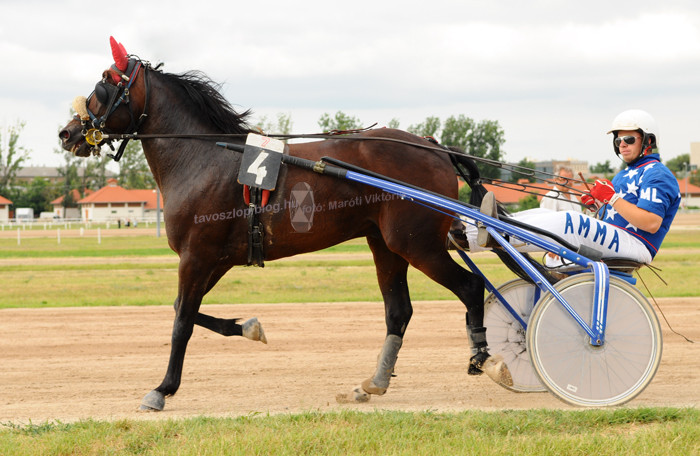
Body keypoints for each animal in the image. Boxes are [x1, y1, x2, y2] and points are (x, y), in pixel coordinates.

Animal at [58, 37, 508, 412]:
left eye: (103, 86)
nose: (67, 133)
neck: (202, 157)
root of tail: (435, 147)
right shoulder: (217, 258)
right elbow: (184, 310)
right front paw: (249, 327)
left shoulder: (197, 254)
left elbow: (182, 320)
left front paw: (162, 389)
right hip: (386, 243)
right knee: (399, 311)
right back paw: (374, 382)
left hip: (416, 243)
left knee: (471, 287)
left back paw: (482, 357)